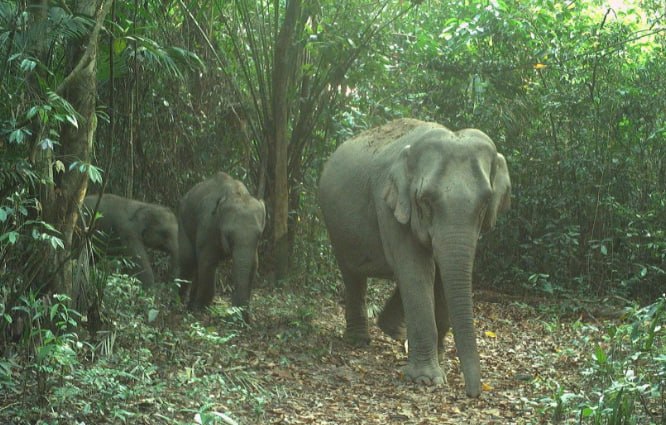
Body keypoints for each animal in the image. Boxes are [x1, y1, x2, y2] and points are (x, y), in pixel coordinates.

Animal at [178, 172, 266, 315]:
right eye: (228, 235)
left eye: (259, 235)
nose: (237, 310)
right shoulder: (208, 225)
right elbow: (208, 262)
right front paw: (200, 310)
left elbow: (254, 265)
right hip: (183, 220)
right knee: (188, 261)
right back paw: (180, 303)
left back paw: (190, 305)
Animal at [318, 118, 511, 397]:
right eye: (425, 200)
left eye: (485, 202)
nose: (473, 393)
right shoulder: (389, 205)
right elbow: (417, 271)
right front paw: (426, 379)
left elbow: (438, 272)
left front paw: (438, 356)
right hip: (336, 228)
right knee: (353, 275)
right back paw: (359, 340)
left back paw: (392, 330)